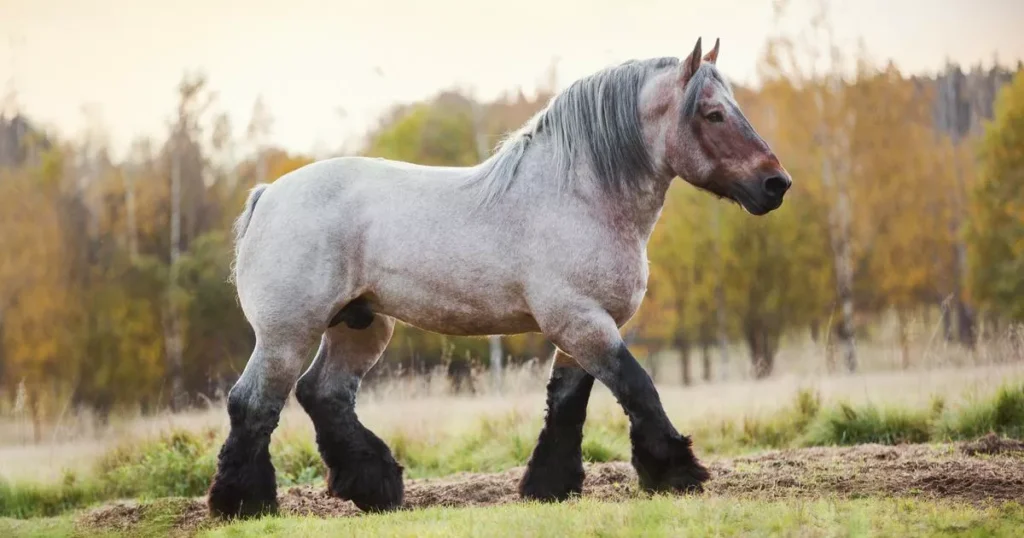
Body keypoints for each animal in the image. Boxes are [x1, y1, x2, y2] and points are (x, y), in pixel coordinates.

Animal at [209, 37, 790, 516]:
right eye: (713, 114)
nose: (776, 184)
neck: (579, 195)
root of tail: (268, 195)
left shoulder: (580, 328)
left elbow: (567, 404)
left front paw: (549, 487)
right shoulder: (581, 321)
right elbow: (637, 386)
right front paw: (676, 472)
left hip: (361, 325)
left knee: (322, 394)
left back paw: (375, 486)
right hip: (287, 334)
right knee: (253, 402)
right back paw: (244, 504)